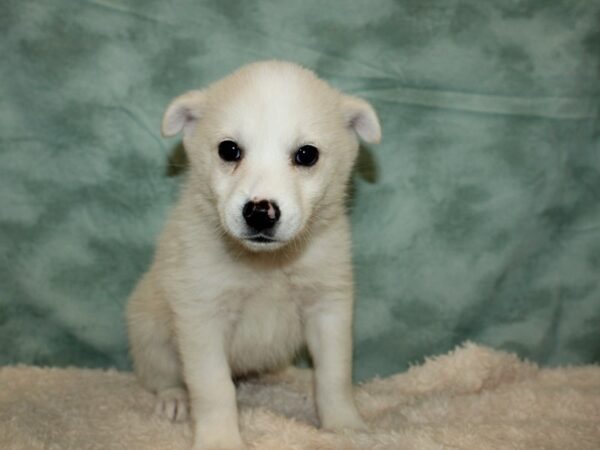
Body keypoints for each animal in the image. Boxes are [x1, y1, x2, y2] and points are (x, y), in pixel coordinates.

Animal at [126, 60, 380, 450]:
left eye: (307, 154)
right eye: (229, 150)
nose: (261, 212)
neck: (266, 265)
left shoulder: (328, 307)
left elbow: (335, 375)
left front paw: (345, 426)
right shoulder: (202, 316)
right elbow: (213, 388)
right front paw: (219, 440)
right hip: (150, 333)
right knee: (159, 376)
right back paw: (173, 399)